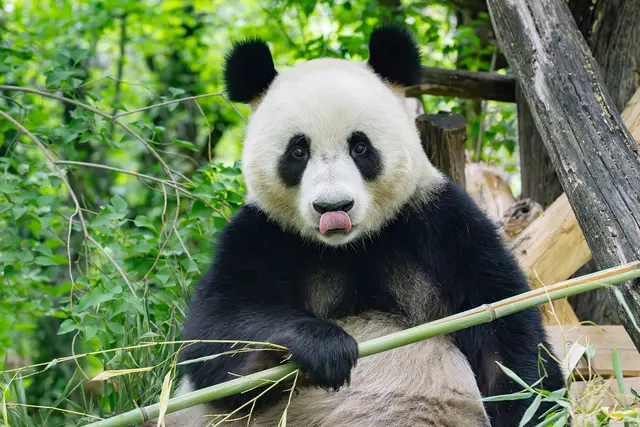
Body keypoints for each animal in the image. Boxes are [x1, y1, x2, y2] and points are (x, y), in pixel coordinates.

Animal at [148, 26, 564, 427]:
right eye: (298, 150)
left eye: (360, 147)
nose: (333, 208)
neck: (348, 245)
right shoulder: (263, 233)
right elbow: (215, 335)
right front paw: (323, 348)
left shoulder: (438, 221)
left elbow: (504, 330)